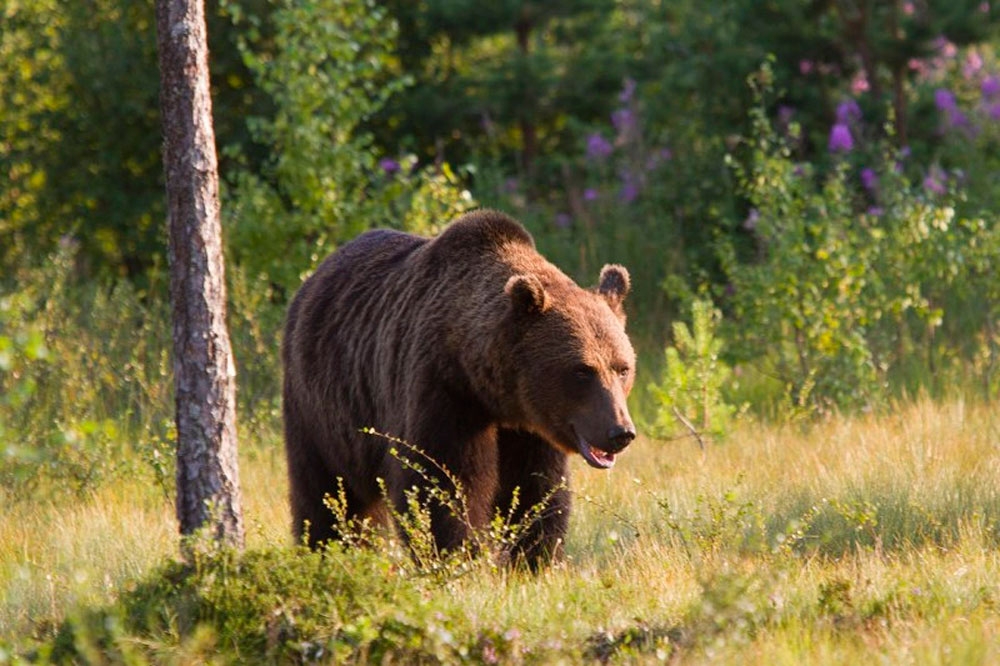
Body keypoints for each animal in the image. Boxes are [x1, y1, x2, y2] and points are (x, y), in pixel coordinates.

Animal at [281, 209, 636, 567]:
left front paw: (535, 556)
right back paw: (325, 548)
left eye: (622, 368)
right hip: (321, 407)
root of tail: (313, 278)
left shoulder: (530, 427)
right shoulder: (443, 391)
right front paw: (458, 556)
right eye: (582, 371)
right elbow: (442, 483)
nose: (620, 432)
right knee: (325, 489)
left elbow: (536, 487)